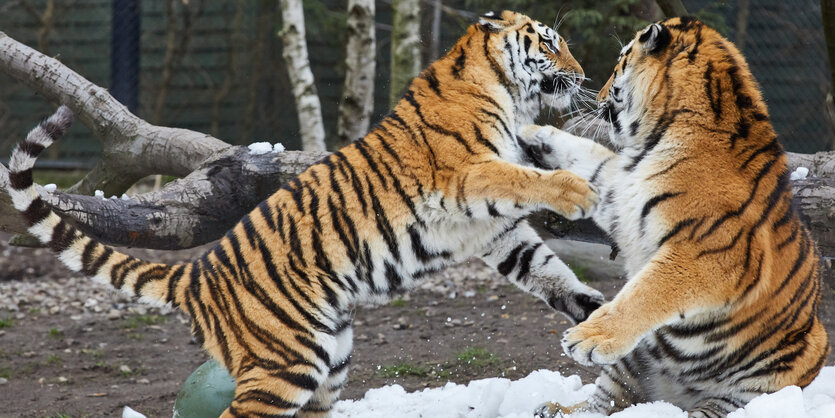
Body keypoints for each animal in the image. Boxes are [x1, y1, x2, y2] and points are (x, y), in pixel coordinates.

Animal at [0, 9, 604, 418]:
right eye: (551, 45)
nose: (583, 76)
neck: (503, 91)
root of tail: (197, 275)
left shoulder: (493, 230)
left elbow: (544, 269)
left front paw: (592, 311)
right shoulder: (468, 174)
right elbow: (526, 178)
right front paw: (577, 191)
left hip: (329, 360)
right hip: (286, 361)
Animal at [520, 16, 832, 418]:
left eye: (619, 62)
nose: (598, 91)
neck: (661, 135)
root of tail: (677, 393)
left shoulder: (703, 254)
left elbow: (646, 293)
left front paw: (586, 337)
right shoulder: (621, 193)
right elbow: (591, 156)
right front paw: (534, 133)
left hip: (754, 387)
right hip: (633, 361)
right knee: (602, 405)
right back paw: (555, 408)